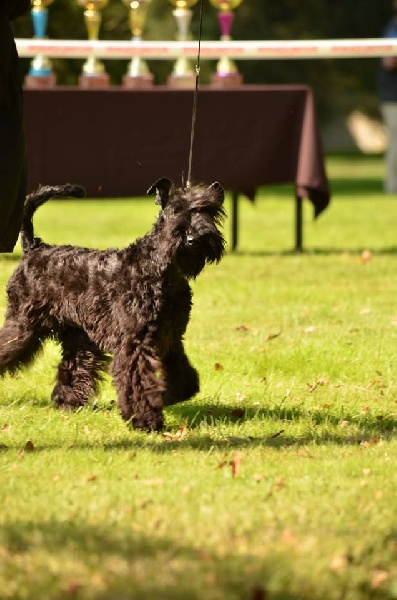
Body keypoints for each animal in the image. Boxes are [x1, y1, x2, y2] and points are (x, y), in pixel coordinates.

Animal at [0, 179, 224, 432]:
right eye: (175, 210)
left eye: (210, 211)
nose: (193, 239)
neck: (161, 270)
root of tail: (34, 248)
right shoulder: (135, 342)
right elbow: (137, 381)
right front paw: (145, 420)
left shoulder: (170, 338)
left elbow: (184, 377)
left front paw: (167, 396)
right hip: (22, 326)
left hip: (79, 335)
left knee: (74, 364)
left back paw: (67, 402)